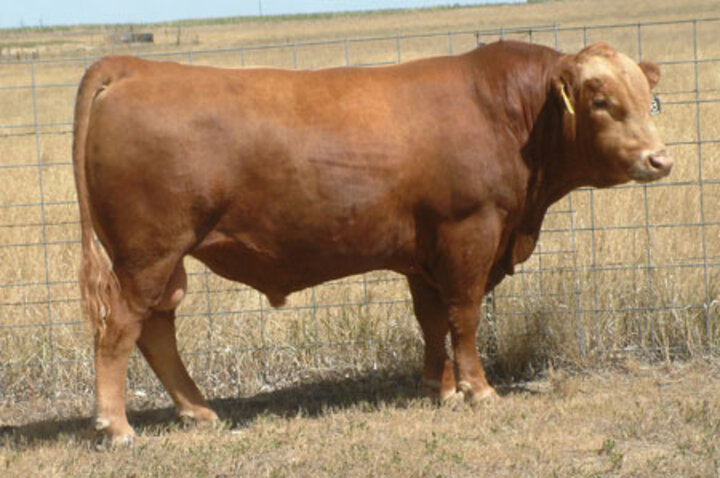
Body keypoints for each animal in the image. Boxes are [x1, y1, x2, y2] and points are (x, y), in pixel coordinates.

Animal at [70, 39, 672, 442]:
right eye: (599, 100)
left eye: (648, 97)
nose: (659, 159)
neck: (508, 113)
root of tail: (133, 68)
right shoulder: (469, 232)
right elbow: (464, 315)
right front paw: (477, 389)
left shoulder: (423, 252)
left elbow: (431, 319)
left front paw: (439, 387)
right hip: (147, 254)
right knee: (120, 327)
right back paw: (116, 425)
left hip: (161, 260)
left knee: (156, 328)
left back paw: (197, 410)